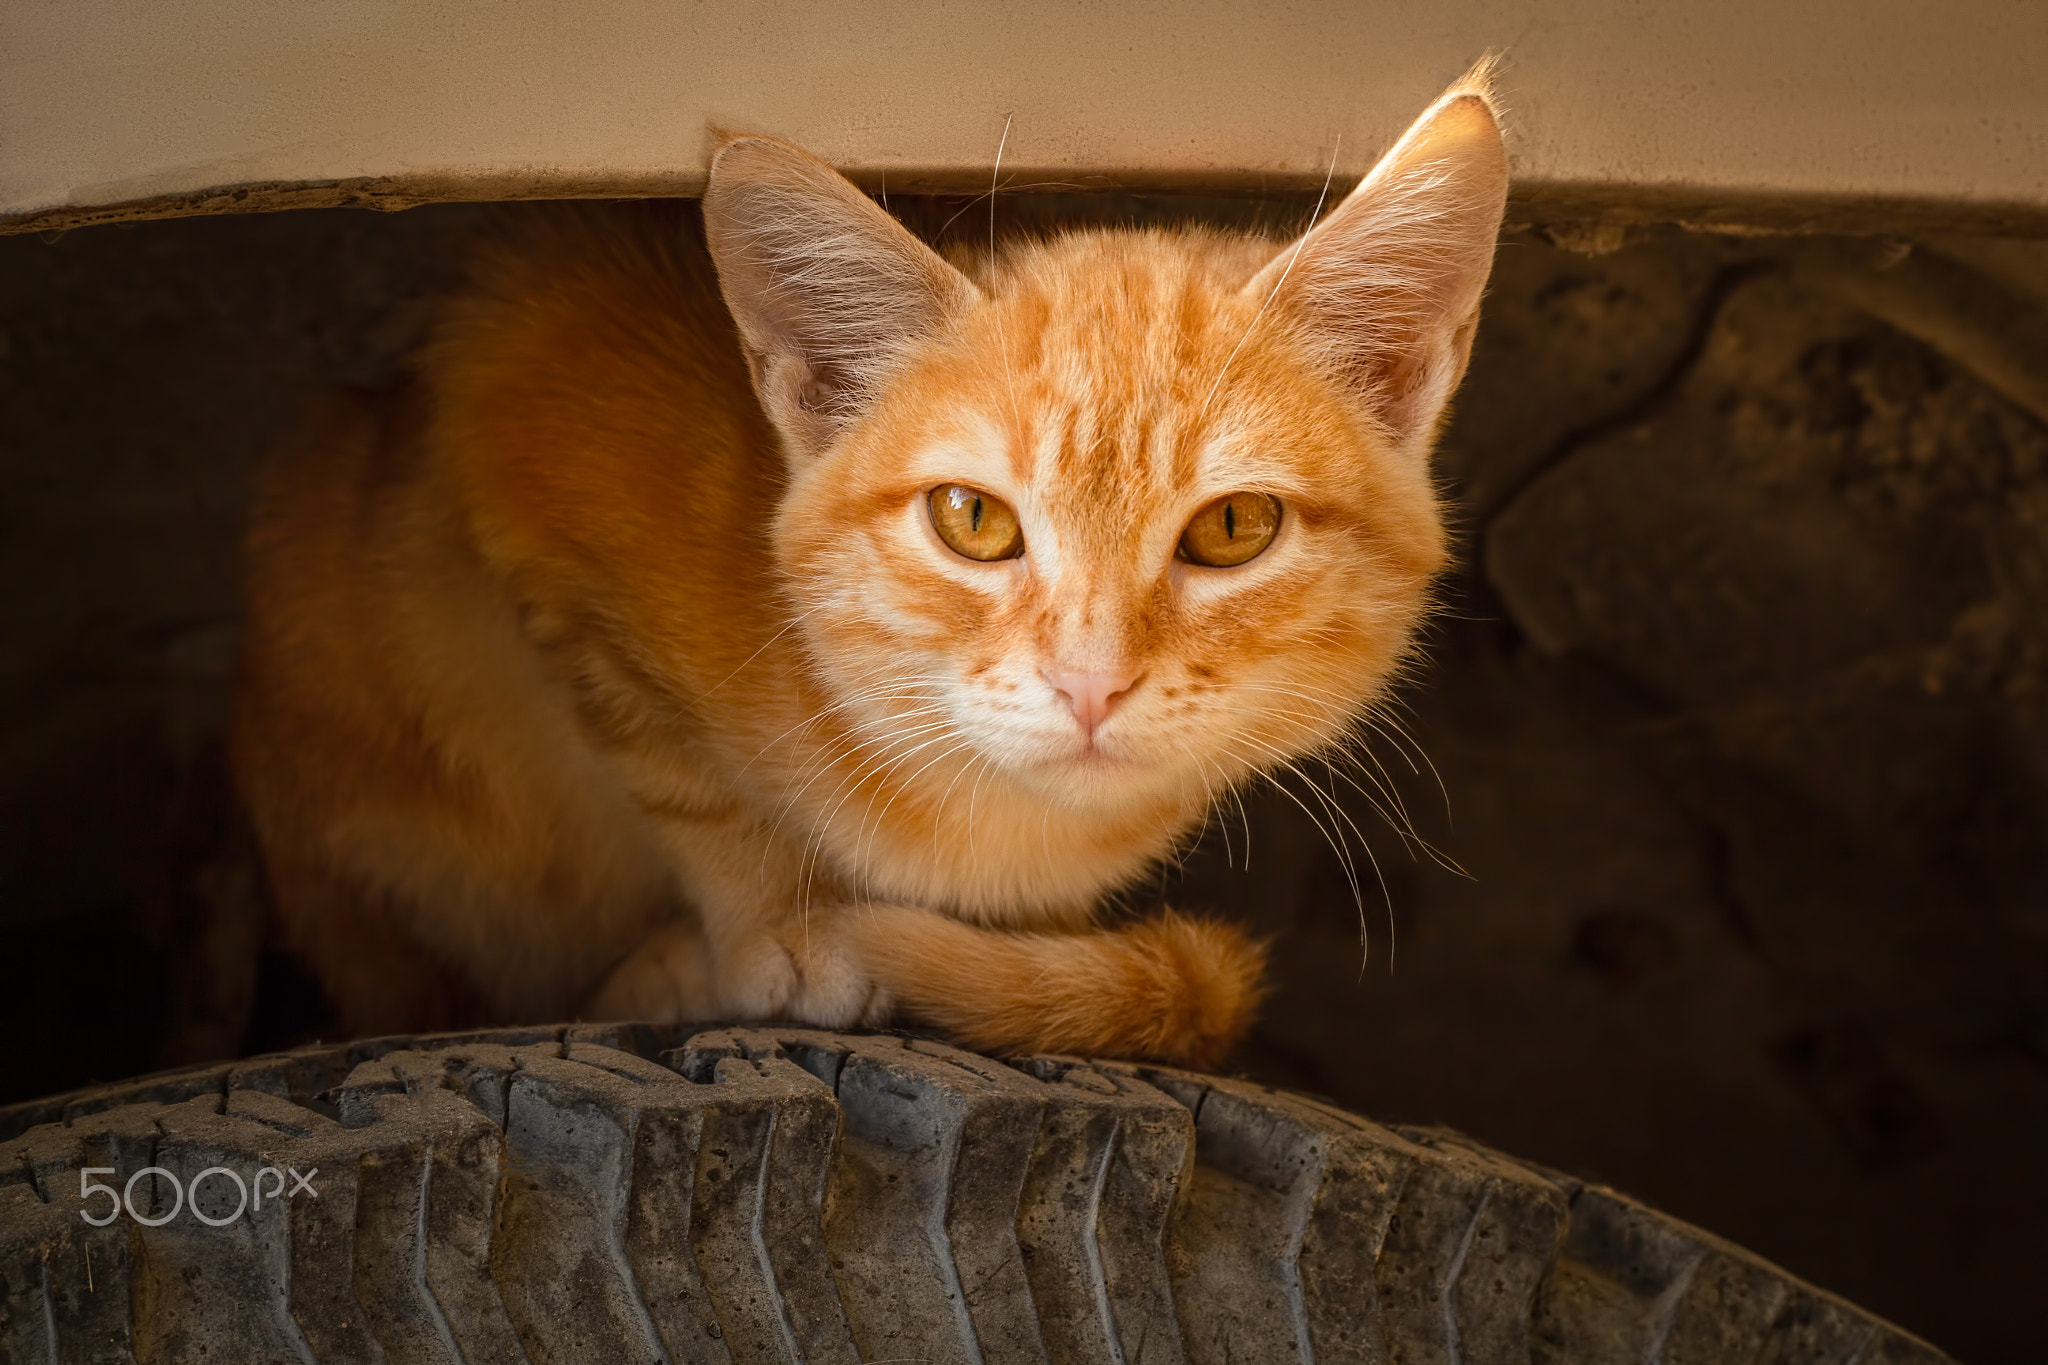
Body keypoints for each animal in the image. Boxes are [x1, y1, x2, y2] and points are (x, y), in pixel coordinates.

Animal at [232, 74, 1507, 1064]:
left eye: (1235, 526)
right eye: (971, 520)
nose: (1090, 684)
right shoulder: (517, 403)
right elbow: (675, 766)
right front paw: (772, 927)